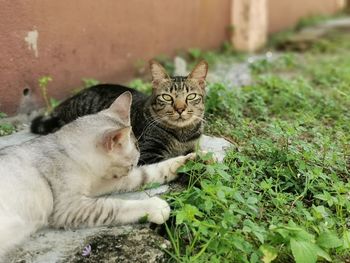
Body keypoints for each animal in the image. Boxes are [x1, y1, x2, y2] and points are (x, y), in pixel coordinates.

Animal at [0, 92, 194, 260]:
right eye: (137, 149)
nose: (139, 156)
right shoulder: (69, 208)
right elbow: (114, 206)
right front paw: (156, 207)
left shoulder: (104, 182)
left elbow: (147, 173)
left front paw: (186, 163)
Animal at [30, 60, 208, 166]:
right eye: (167, 97)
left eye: (191, 96)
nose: (180, 109)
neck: (182, 134)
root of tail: (68, 101)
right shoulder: (149, 154)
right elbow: (186, 166)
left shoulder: (193, 147)